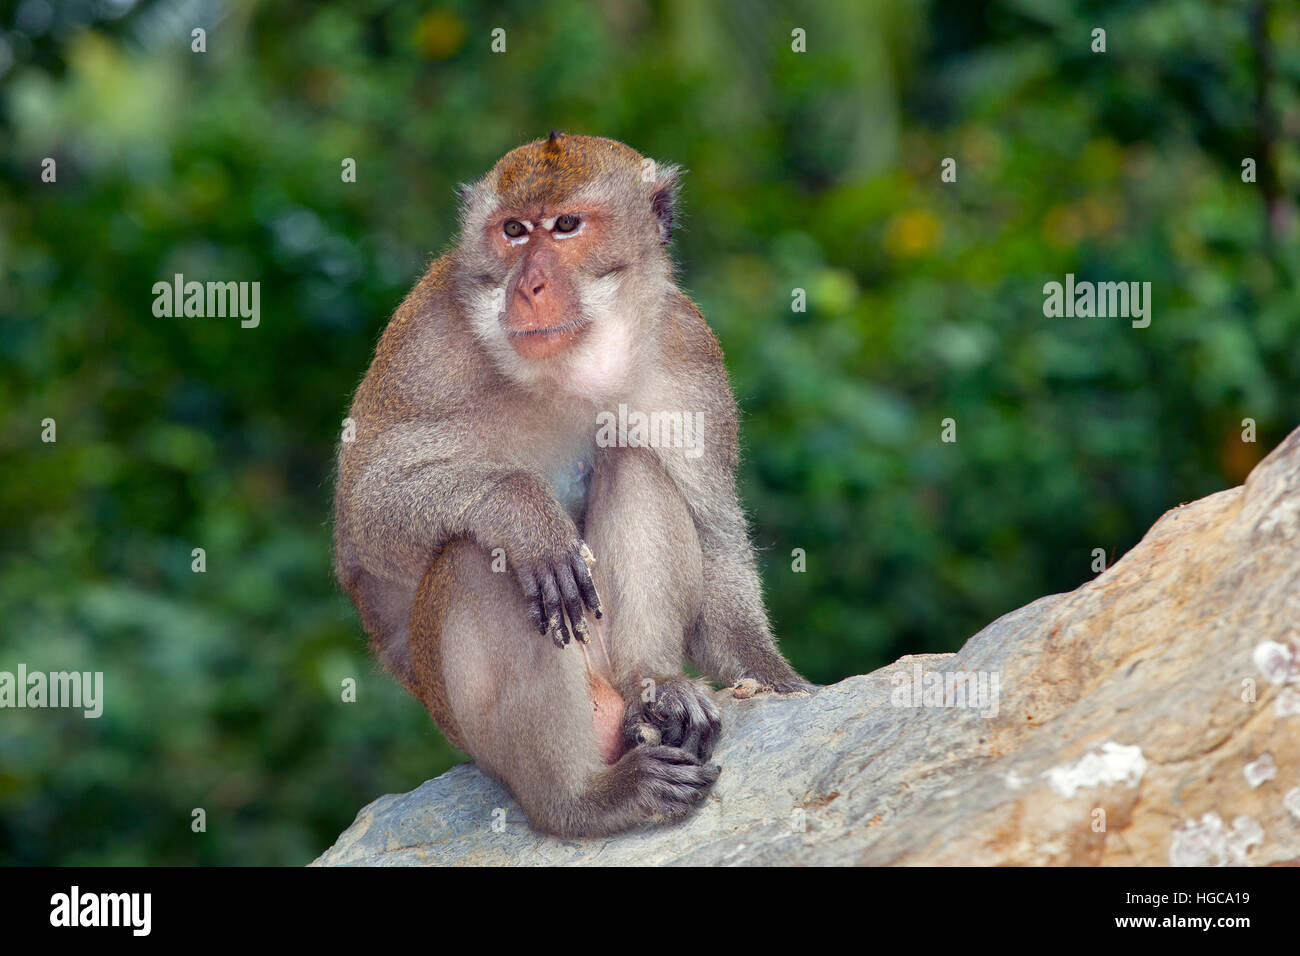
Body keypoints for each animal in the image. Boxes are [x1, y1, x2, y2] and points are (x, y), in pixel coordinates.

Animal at [333, 132, 811, 838]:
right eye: (512, 230)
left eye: (565, 226)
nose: (528, 285)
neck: (570, 366)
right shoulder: (425, 345)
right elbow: (364, 517)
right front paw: (525, 514)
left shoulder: (687, 350)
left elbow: (715, 532)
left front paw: (774, 676)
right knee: (479, 558)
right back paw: (583, 799)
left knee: (636, 461)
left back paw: (657, 689)